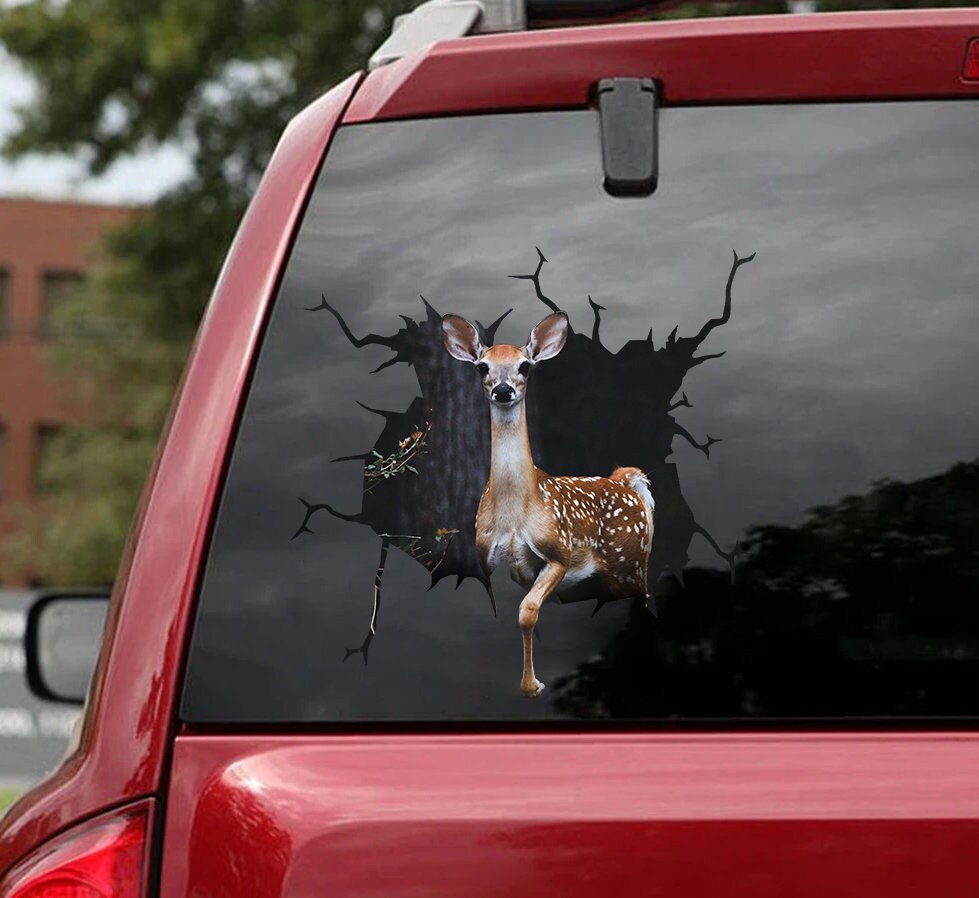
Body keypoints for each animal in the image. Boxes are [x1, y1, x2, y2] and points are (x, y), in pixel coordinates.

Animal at [442, 311, 655, 697]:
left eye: (525, 366)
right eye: (482, 367)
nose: (503, 390)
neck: (515, 514)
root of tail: (626, 482)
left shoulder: (559, 550)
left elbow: (526, 610)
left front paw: (531, 685)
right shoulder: (496, 561)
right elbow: (521, 610)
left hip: (629, 561)